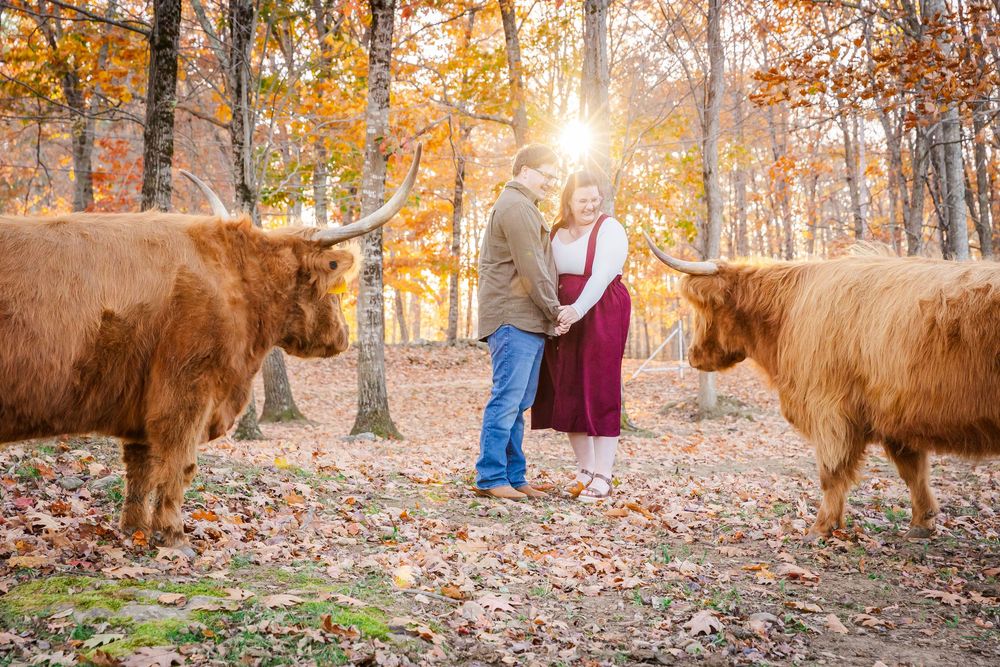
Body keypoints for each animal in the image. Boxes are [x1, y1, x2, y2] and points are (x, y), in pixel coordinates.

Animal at [0, 146, 421, 553]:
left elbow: (140, 467)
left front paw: (134, 529)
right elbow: (179, 465)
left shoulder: (142, 403)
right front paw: (173, 535)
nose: (343, 336)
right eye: (334, 287)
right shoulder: (187, 389)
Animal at [645, 233, 1000, 539]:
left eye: (703, 309)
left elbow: (831, 472)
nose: (692, 357)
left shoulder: (829, 409)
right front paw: (922, 523)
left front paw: (821, 527)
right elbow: (914, 472)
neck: (787, 313)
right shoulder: (894, 414)